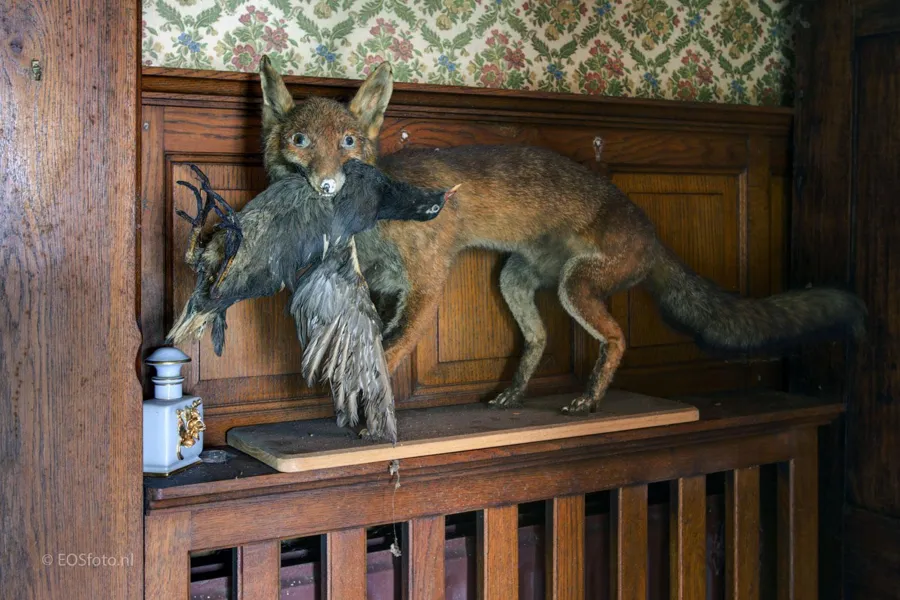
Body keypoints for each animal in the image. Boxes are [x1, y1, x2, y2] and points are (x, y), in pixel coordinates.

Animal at [257, 54, 866, 416]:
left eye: (350, 143)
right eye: (301, 140)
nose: (328, 184)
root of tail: (651, 232)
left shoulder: (427, 282)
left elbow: (394, 348)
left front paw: (369, 402)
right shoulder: (385, 286)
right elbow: (375, 336)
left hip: (578, 287)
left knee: (617, 339)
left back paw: (590, 398)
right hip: (515, 278)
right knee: (540, 340)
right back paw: (515, 391)